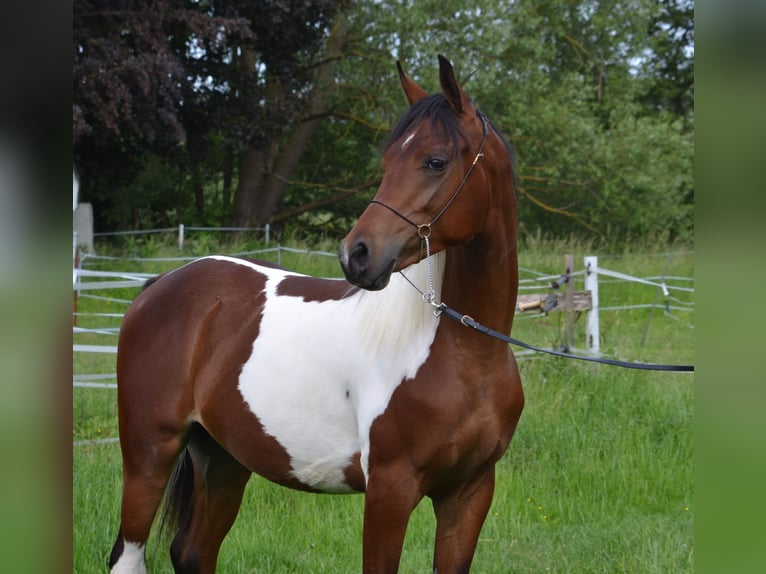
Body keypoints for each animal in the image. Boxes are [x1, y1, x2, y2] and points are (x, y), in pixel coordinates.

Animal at [108, 54, 523, 574]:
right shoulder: (390, 490)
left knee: (193, 551)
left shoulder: (469, 492)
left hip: (223, 457)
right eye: (388, 161)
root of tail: (160, 286)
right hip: (150, 452)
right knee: (128, 555)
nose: (356, 255)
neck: (466, 353)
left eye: (435, 161)